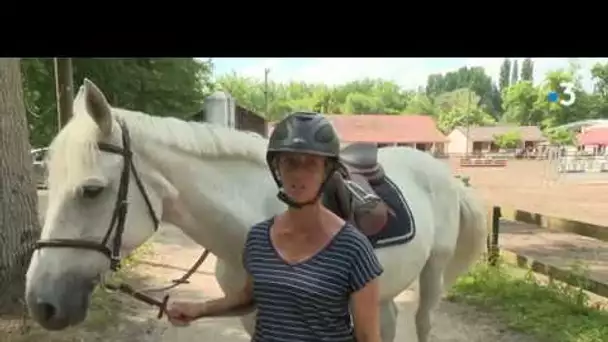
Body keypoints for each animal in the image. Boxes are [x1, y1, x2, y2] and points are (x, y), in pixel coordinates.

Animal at [25, 79, 490, 340]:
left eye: (91, 191)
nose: (41, 304)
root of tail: (440, 171)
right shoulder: (252, 316)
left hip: (432, 275)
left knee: (424, 322)